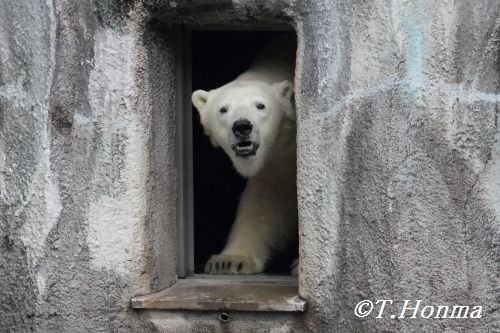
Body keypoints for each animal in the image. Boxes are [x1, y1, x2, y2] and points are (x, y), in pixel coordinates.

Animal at [191, 35, 296, 274]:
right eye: (223, 109)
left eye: (261, 105)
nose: (242, 127)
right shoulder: (274, 164)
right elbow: (264, 202)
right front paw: (230, 260)